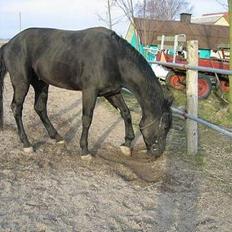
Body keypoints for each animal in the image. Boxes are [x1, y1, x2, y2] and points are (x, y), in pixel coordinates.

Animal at [0, 26, 172, 158]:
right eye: (164, 127)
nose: (158, 152)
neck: (114, 57)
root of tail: (9, 44)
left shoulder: (111, 92)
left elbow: (126, 113)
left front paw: (127, 144)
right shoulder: (90, 91)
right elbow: (87, 119)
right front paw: (84, 150)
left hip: (41, 84)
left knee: (40, 108)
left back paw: (56, 137)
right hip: (22, 82)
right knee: (17, 108)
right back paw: (26, 144)